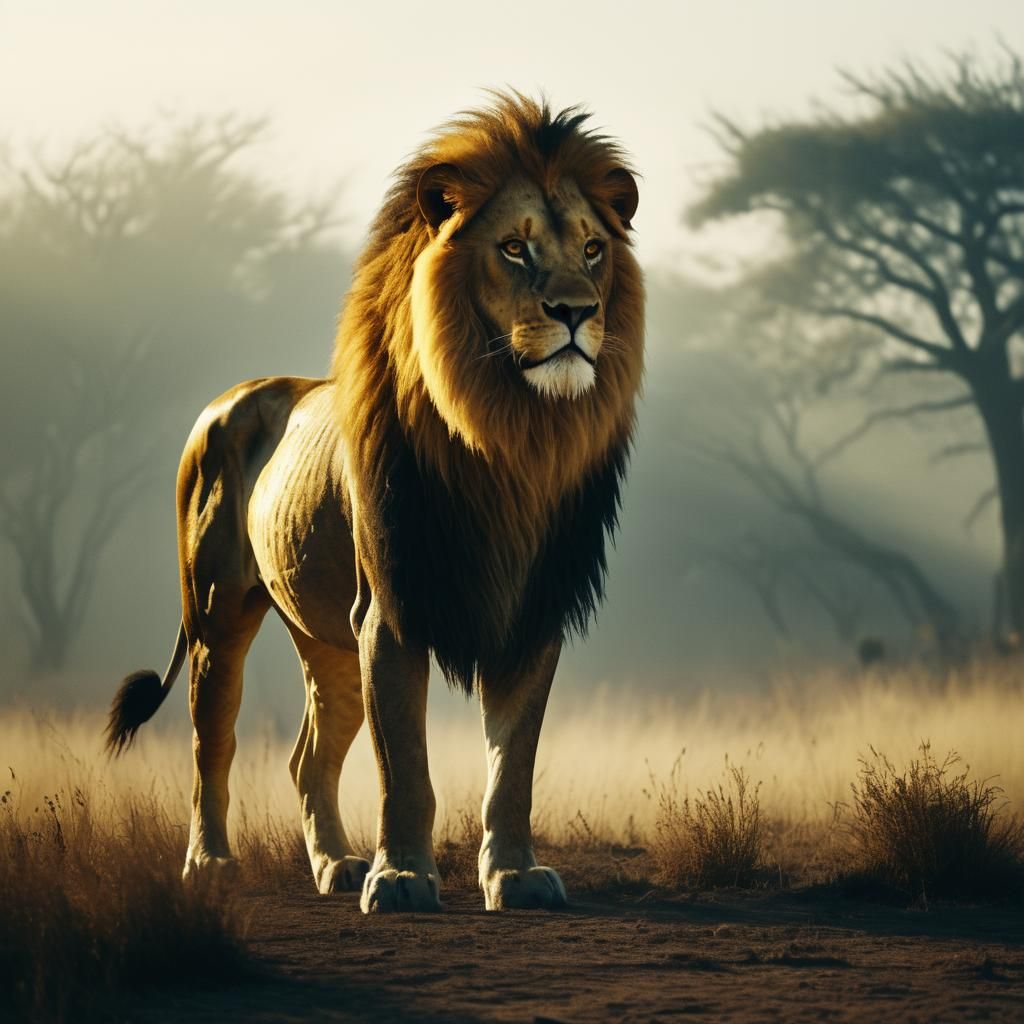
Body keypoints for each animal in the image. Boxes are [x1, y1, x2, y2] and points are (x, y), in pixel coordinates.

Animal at [106, 93, 644, 913]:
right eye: (514, 249)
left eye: (592, 249)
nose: (577, 312)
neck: (510, 437)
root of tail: (228, 398)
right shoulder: (389, 614)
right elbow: (406, 768)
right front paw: (402, 879)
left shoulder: (529, 613)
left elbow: (512, 765)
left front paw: (515, 875)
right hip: (217, 616)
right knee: (211, 742)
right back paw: (212, 864)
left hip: (326, 640)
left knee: (307, 760)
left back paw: (335, 865)